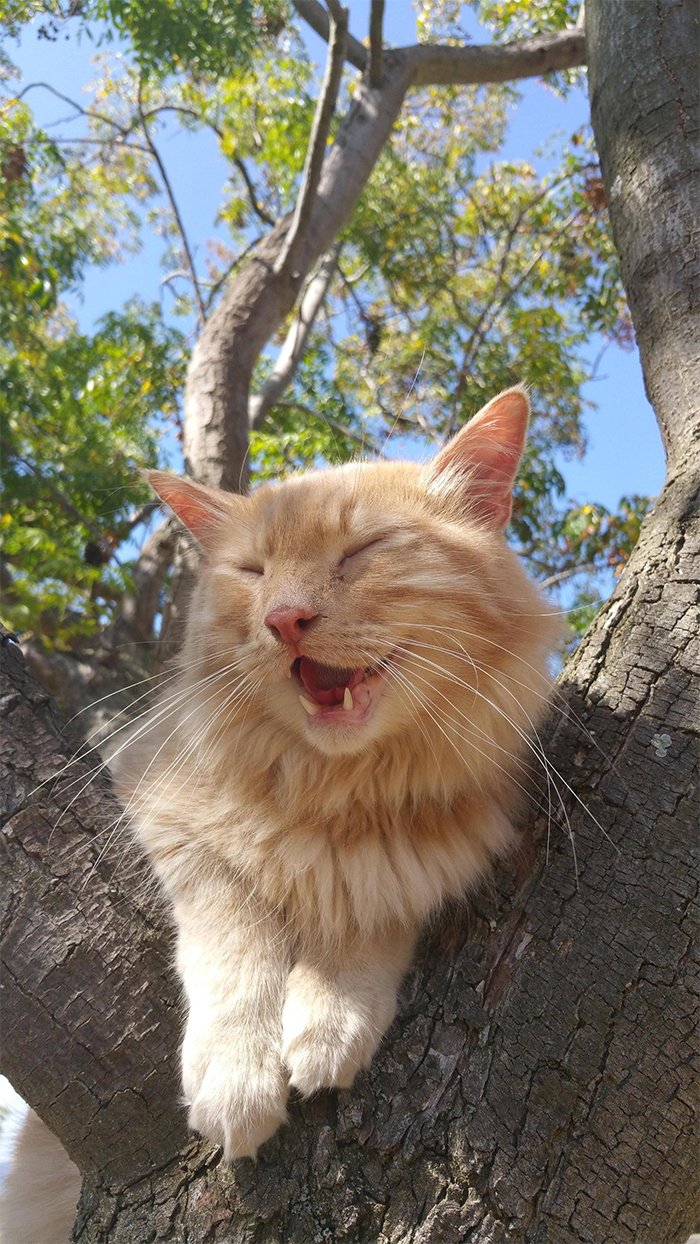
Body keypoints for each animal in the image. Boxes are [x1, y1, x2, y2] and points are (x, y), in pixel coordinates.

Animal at [108, 383, 559, 1159]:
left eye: (361, 552)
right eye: (253, 572)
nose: (285, 619)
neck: (336, 791)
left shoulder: (425, 860)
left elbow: (365, 912)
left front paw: (329, 1020)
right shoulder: (164, 811)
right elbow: (236, 943)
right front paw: (236, 1075)